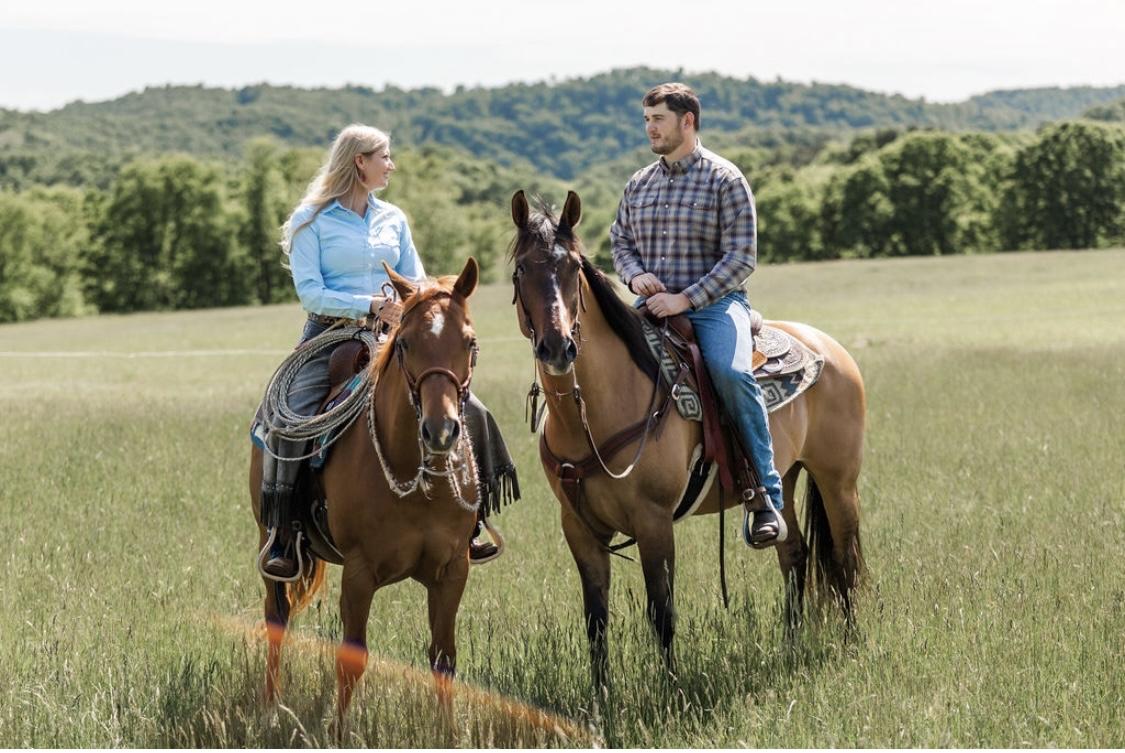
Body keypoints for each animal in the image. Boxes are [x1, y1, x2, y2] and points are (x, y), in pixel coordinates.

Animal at [250, 255, 483, 724]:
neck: (417, 483)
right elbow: (351, 660)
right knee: (276, 617)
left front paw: (448, 732)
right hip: (268, 541)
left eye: (469, 342)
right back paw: (271, 708)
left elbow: (444, 659)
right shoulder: (359, 573)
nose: (441, 431)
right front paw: (340, 731)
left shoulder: (452, 572)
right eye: (405, 344)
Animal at [510, 191, 868, 684]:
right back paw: (790, 647)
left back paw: (849, 648)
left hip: (838, 480)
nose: (558, 347)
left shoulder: (654, 520)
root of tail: (829, 347)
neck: (592, 414)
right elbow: (595, 619)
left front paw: (671, 691)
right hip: (787, 474)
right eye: (522, 269)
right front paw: (601, 698)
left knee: (844, 559)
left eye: (573, 269)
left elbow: (662, 612)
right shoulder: (579, 528)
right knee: (793, 554)